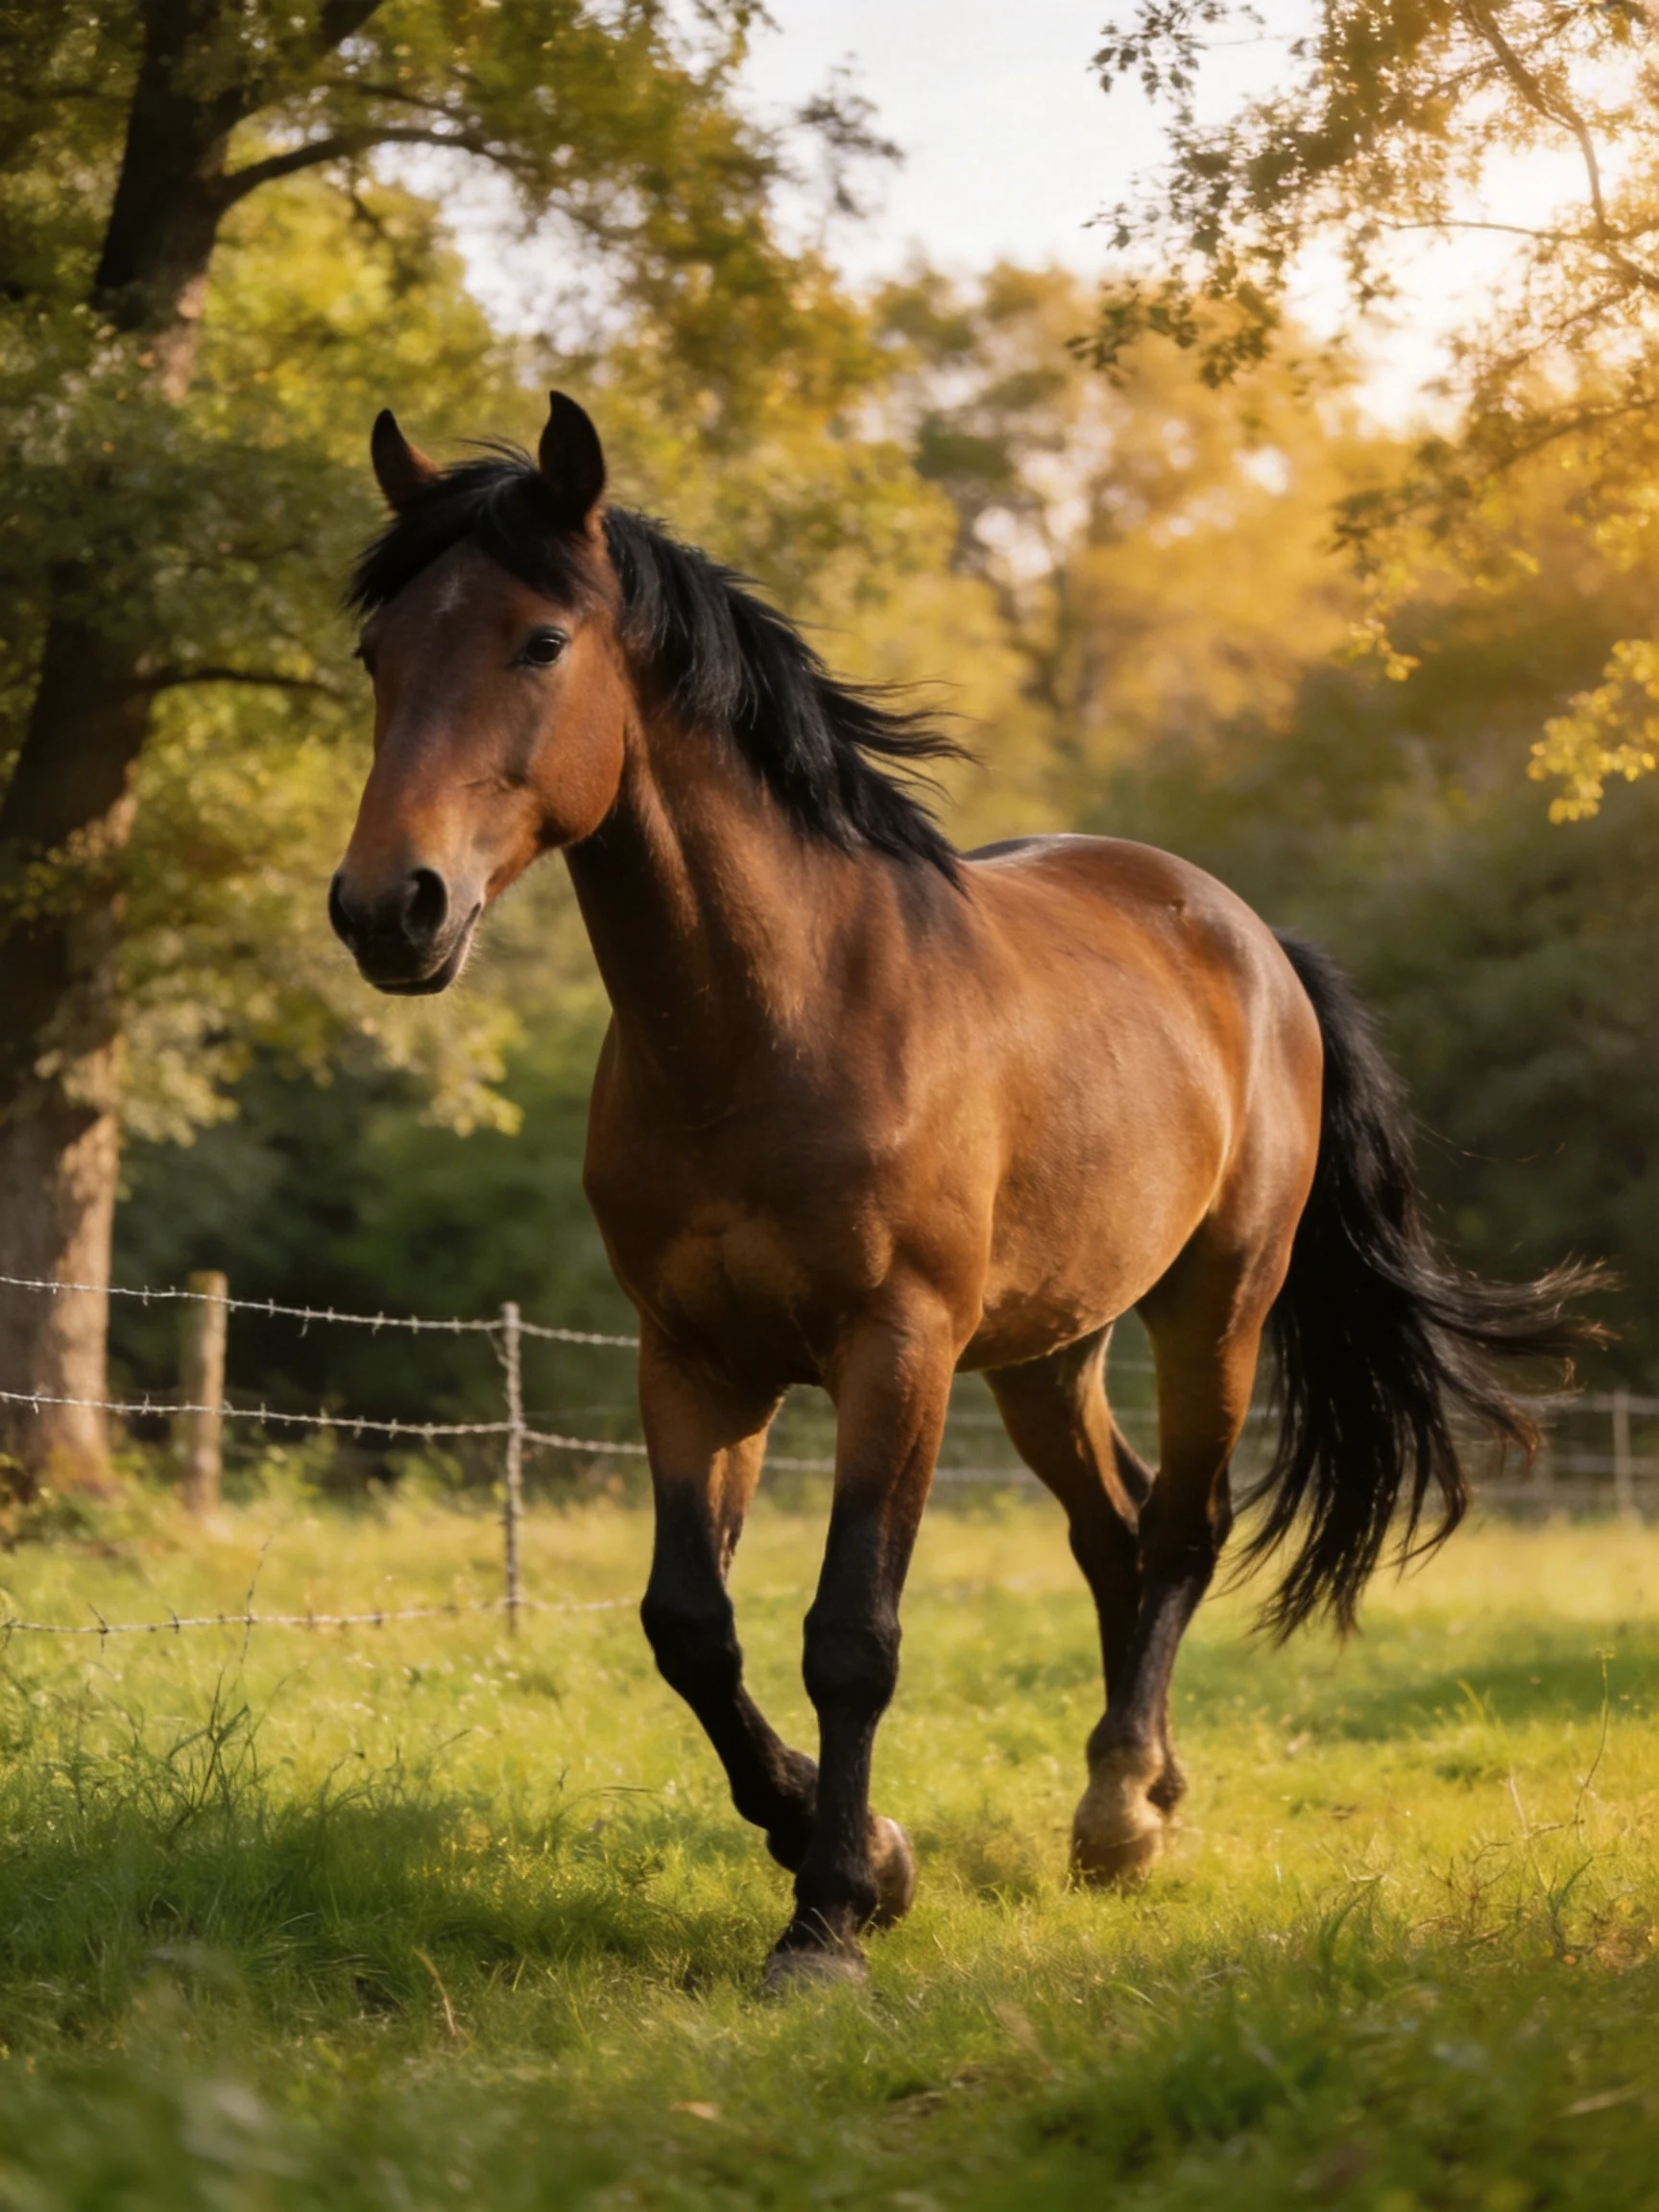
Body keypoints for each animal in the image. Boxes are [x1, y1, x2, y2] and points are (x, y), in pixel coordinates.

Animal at [329, 391, 1596, 1988]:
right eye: (380, 653)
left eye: (540, 641)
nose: (390, 909)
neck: (773, 1023)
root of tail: (1248, 935)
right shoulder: (694, 1360)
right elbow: (691, 1626)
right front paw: (852, 1846)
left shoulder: (898, 1354)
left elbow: (850, 1635)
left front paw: (827, 1918)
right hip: (1052, 1349)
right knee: (1115, 1530)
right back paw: (1145, 1791)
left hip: (1213, 1309)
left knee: (1186, 1526)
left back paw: (1119, 1814)